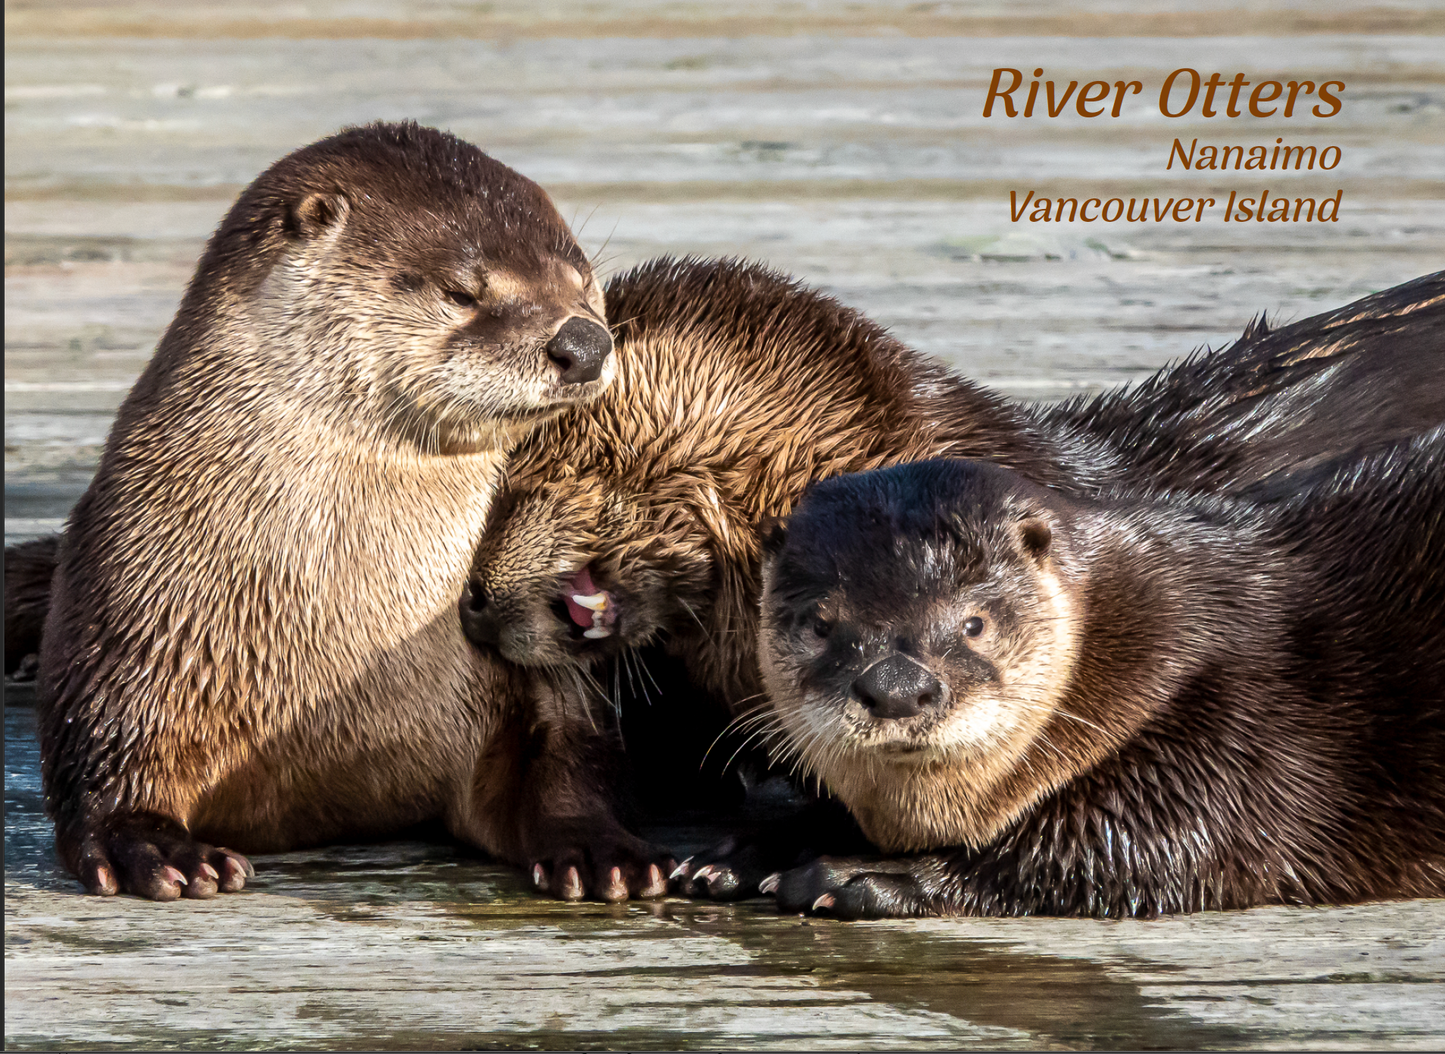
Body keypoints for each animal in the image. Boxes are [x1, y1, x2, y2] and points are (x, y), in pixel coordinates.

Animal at [29, 121, 655, 902]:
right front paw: (152, 846)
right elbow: (106, 750)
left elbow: (567, 750)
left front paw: (599, 850)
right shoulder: (129, 609)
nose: (584, 342)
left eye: (586, 283)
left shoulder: (532, 671)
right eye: (461, 291)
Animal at [753, 440, 1445, 918]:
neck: (1150, 632)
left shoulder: (1243, 726)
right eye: (820, 624)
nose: (896, 687)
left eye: (974, 623)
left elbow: (1140, 851)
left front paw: (870, 877)